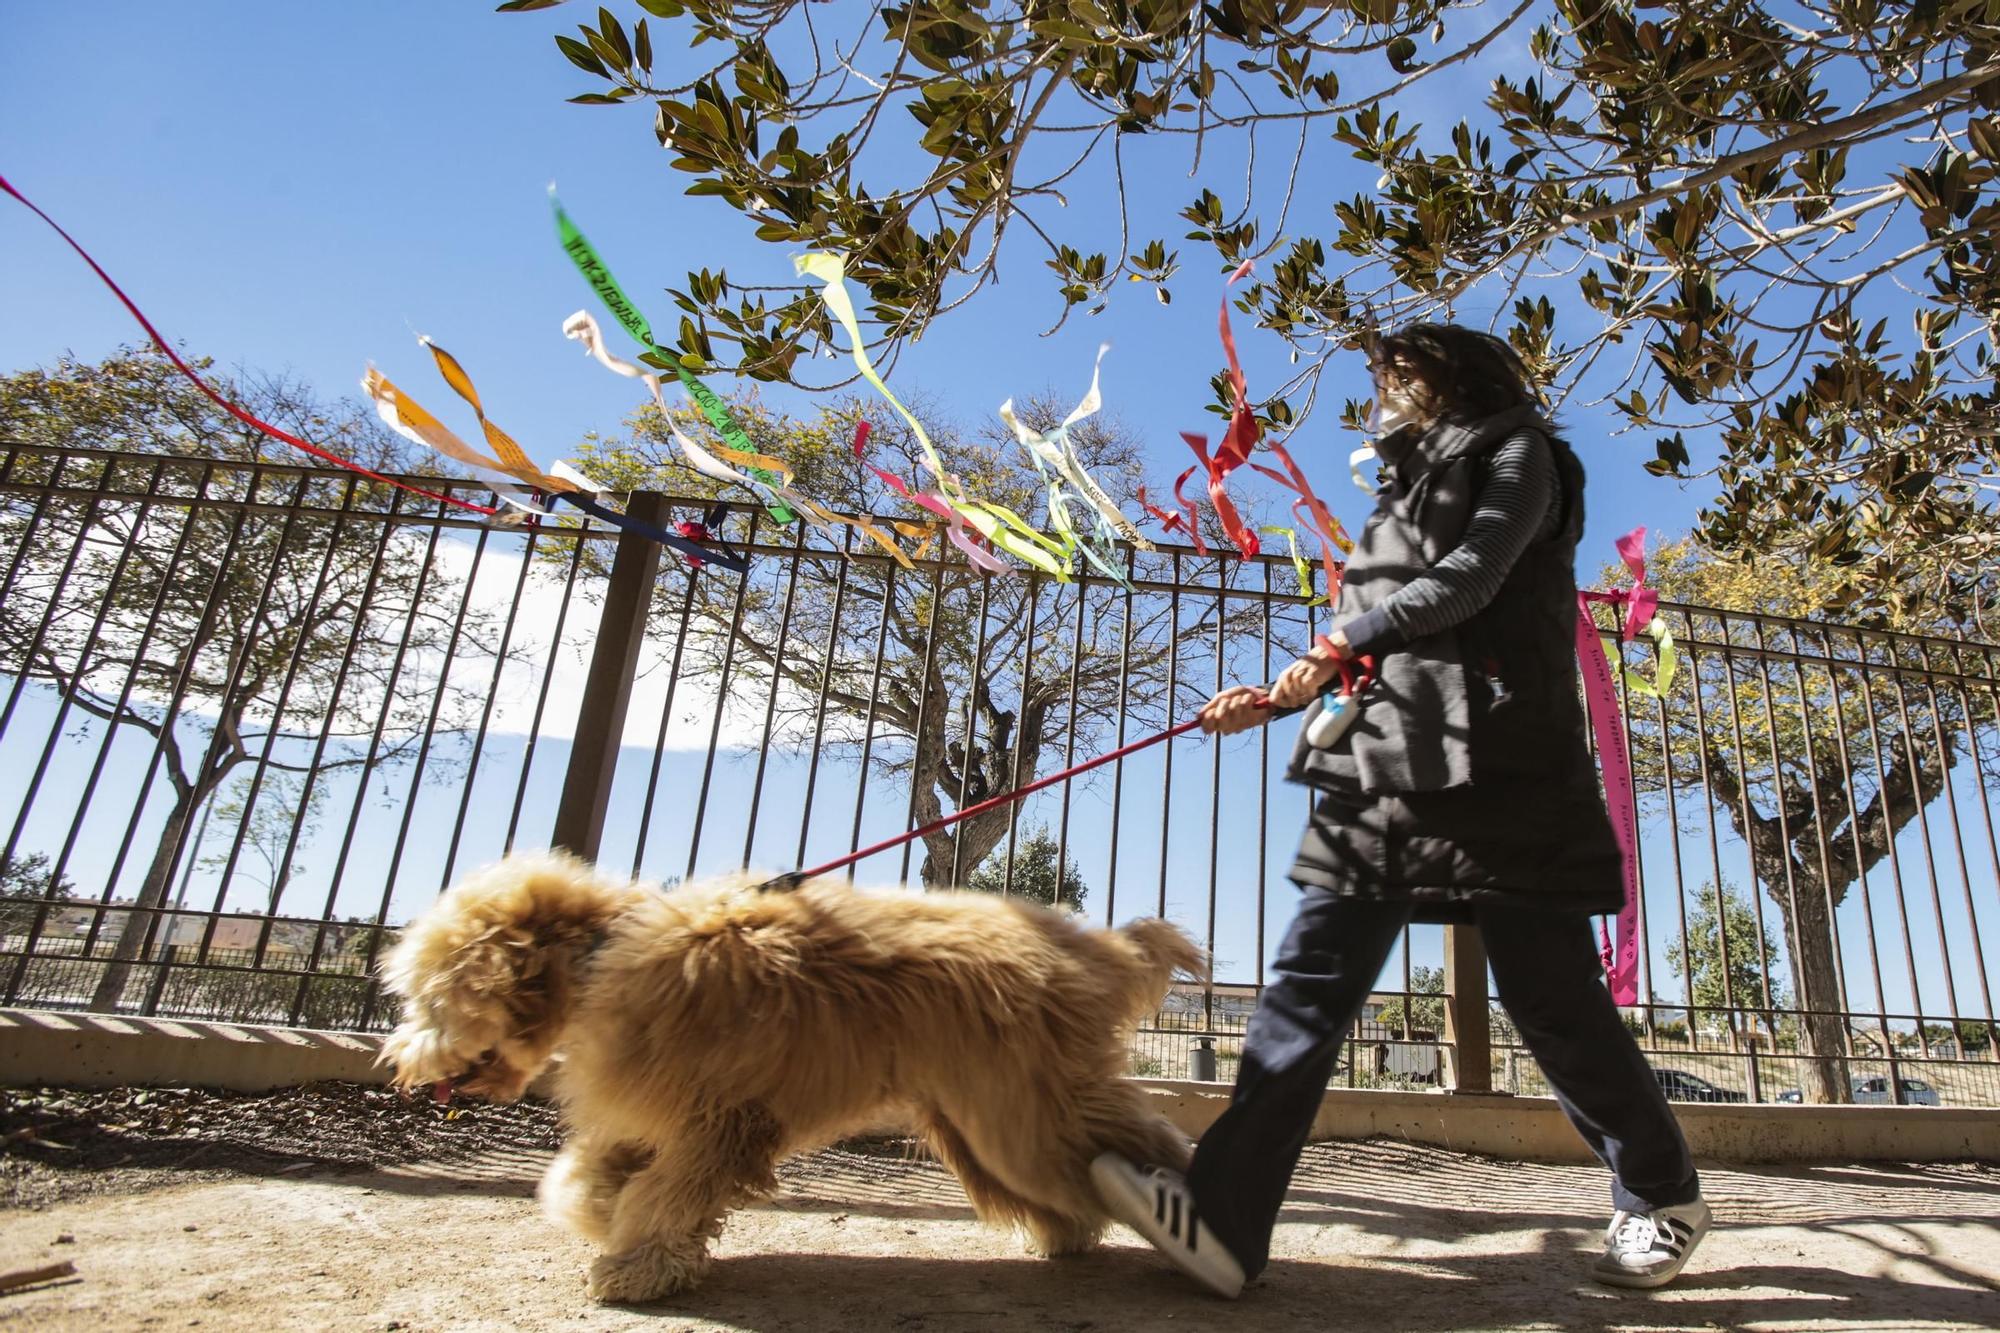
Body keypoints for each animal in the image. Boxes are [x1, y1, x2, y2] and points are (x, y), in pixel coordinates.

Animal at [382, 852, 1200, 1296]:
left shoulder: (718, 1120)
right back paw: (1065, 1236)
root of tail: (1095, 949)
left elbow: (665, 1196)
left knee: (1144, 1142)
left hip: (1018, 1112)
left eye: (429, 998)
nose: (399, 1061)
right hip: (987, 1116)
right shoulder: (652, 1115)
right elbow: (586, 1180)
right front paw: (604, 1219)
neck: (604, 954)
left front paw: (641, 1267)